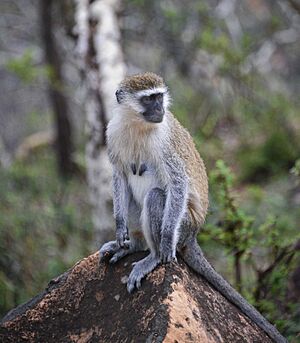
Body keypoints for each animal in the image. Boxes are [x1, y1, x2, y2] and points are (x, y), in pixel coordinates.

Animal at [99, 72, 288, 343]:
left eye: (159, 97)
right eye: (148, 99)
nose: (160, 109)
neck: (137, 124)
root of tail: (194, 234)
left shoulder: (164, 143)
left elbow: (178, 181)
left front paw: (165, 243)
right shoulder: (113, 133)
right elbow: (119, 176)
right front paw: (119, 228)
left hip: (185, 225)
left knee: (155, 197)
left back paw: (153, 256)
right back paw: (133, 245)